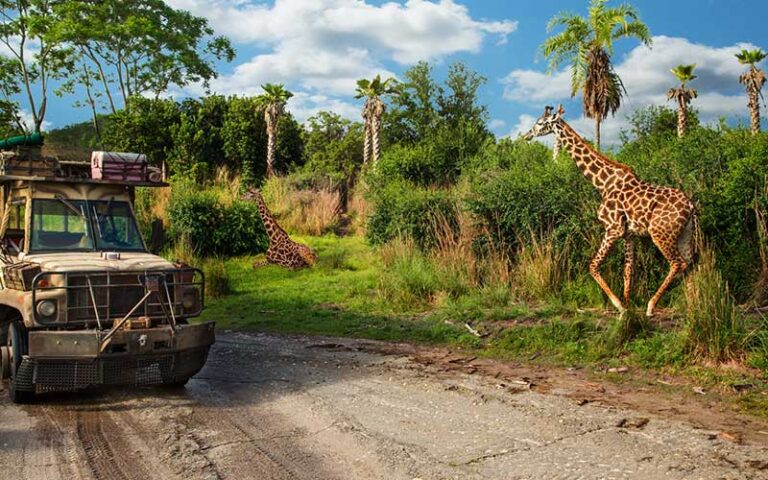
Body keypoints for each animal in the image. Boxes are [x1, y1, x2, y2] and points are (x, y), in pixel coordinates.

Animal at [520, 105, 696, 316]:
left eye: (540, 123)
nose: (527, 135)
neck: (603, 183)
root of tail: (691, 206)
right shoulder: (629, 234)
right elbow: (628, 270)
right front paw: (628, 308)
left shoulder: (613, 229)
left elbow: (593, 265)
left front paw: (619, 305)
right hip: (684, 234)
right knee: (690, 263)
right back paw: (693, 306)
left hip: (661, 233)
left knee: (678, 263)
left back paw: (652, 305)